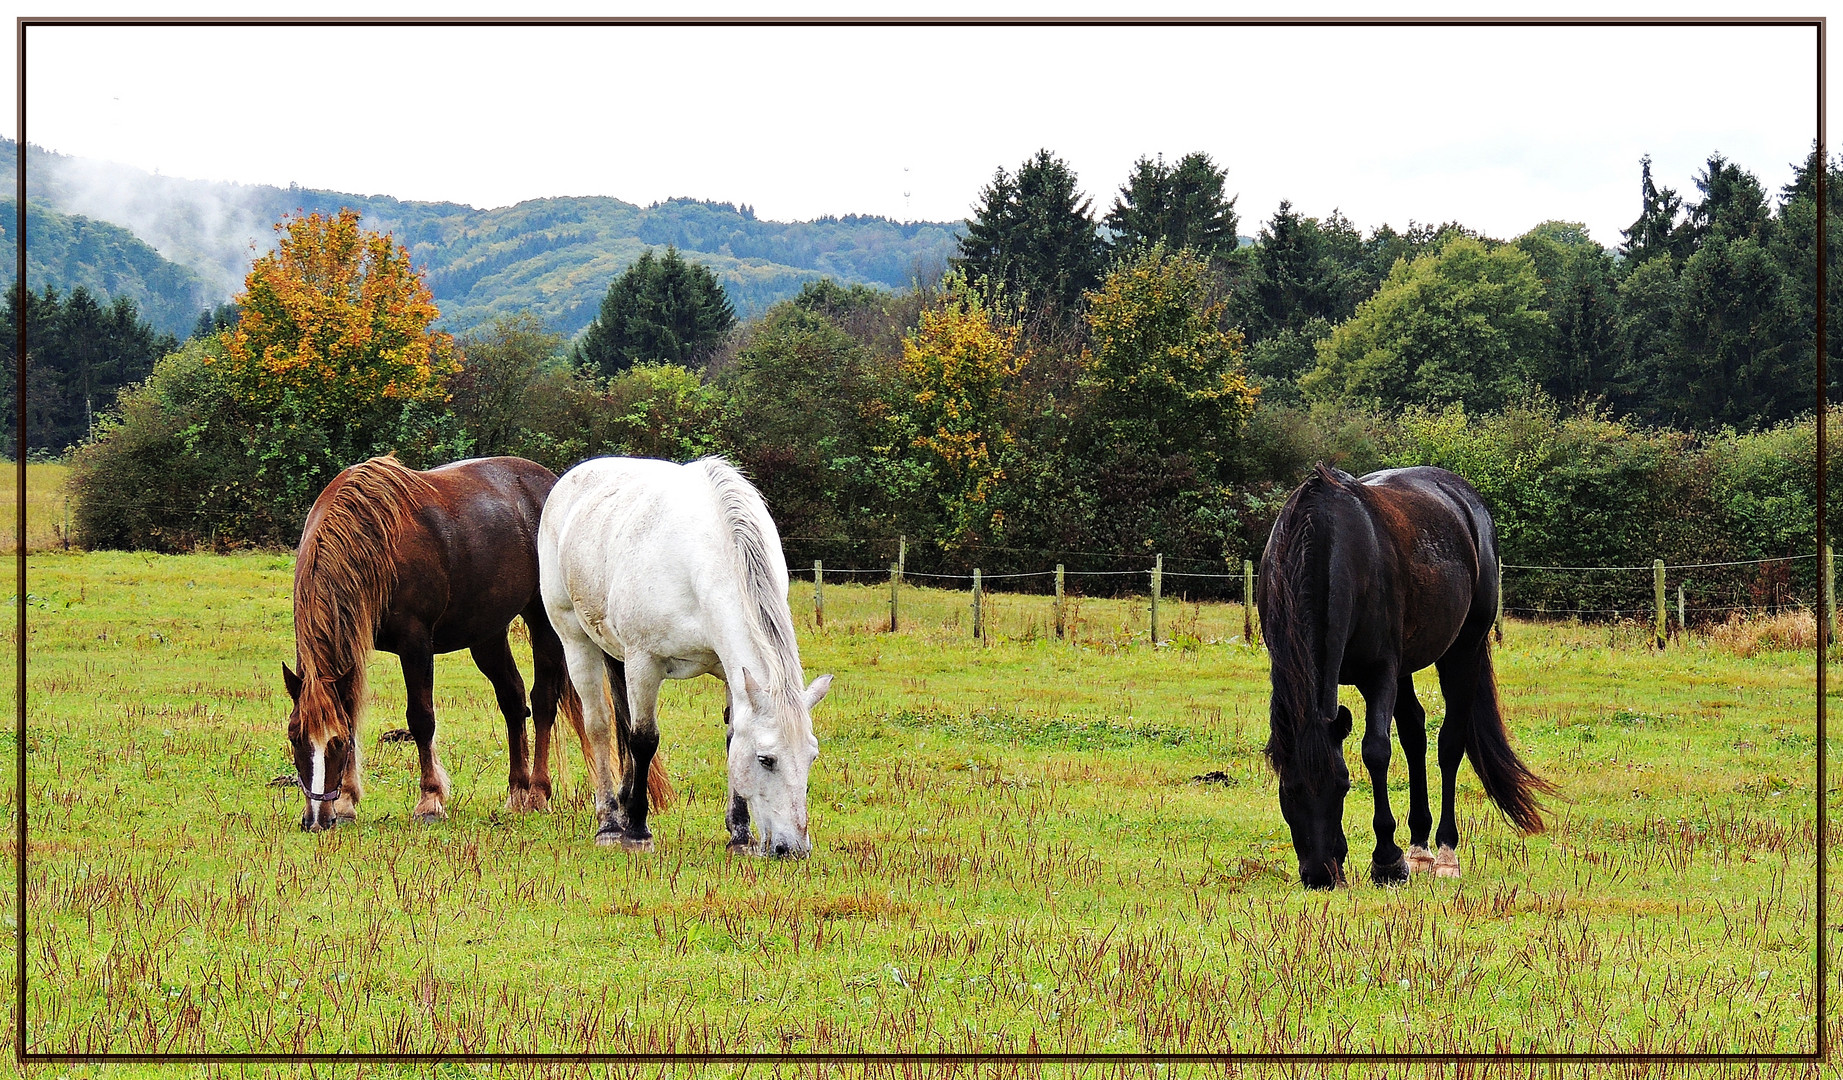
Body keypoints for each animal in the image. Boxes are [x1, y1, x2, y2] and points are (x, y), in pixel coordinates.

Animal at [280, 451, 600, 825]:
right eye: (294, 737)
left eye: (336, 742)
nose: (317, 819)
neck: (373, 541)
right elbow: (351, 711)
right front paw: (346, 801)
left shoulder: (415, 642)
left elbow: (421, 718)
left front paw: (430, 800)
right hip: (487, 633)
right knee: (512, 698)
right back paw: (517, 792)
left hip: (543, 621)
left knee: (544, 700)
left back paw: (537, 792)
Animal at [538, 451, 836, 847]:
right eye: (766, 759)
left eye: (811, 758)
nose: (792, 849)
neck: (703, 558)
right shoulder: (645, 662)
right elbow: (644, 739)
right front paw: (638, 831)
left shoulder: (730, 670)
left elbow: (729, 738)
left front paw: (739, 834)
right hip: (576, 639)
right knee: (599, 725)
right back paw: (610, 823)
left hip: (617, 654)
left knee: (620, 722)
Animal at [1253, 462, 1555, 884]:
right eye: (1289, 791)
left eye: (1343, 787)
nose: (1321, 876)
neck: (1324, 537)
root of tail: (1466, 500)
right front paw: (1395, 856)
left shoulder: (1379, 672)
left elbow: (1376, 751)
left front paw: (1387, 861)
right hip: (1407, 669)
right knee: (1415, 734)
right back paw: (1419, 848)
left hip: (1463, 652)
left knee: (1449, 743)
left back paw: (1444, 853)